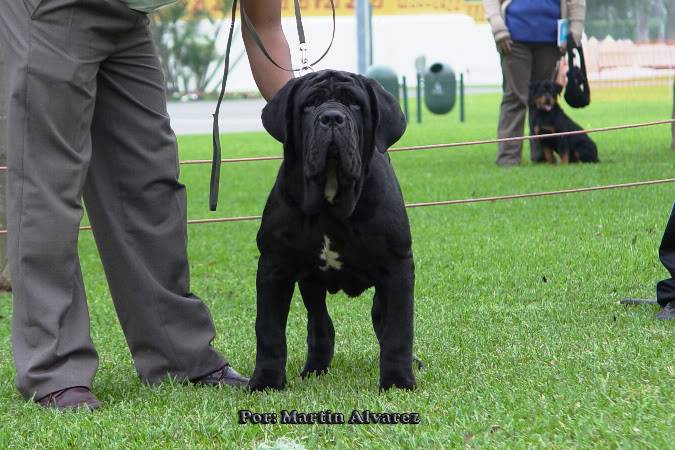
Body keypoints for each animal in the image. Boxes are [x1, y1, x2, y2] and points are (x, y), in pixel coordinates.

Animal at [248, 68, 418, 392]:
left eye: (354, 104)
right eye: (309, 105)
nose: (331, 117)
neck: (330, 198)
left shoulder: (397, 268)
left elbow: (399, 330)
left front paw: (398, 382)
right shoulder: (274, 267)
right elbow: (269, 331)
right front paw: (265, 382)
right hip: (310, 284)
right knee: (320, 323)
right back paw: (315, 368)